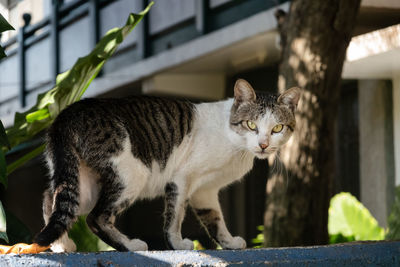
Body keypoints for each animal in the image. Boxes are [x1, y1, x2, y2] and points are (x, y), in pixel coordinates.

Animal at [33, 79, 300, 253]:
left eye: (277, 128)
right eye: (251, 125)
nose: (263, 145)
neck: (235, 142)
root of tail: (67, 114)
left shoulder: (205, 190)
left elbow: (215, 219)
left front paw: (229, 243)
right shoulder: (181, 178)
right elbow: (175, 216)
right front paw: (177, 244)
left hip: (83, 183)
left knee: (53, 199)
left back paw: (61, 244)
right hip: (131, 174)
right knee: (95, 217)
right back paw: (130, 245)